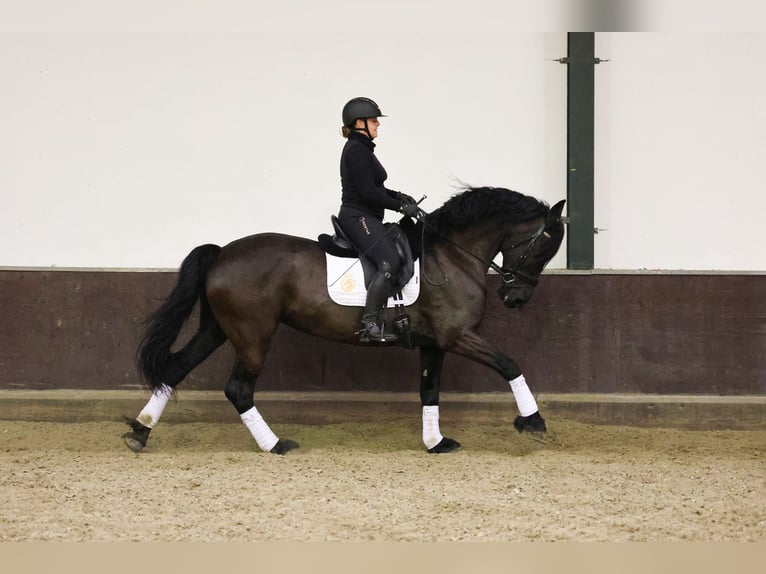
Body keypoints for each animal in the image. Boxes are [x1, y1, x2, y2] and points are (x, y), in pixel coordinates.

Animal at [123, 186, 566, 454]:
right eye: (544, 248)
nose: (515, 298)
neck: (452, 255)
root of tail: (221, 253)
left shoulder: (433, 343)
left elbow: (429, 391)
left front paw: (435, 442)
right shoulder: (458, 336)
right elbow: (510, 364)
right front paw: (534, 421)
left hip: (217, 329)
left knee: (176, 370)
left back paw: (140, 432)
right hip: (253, 334)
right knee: (238, 389)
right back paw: (274, 444)